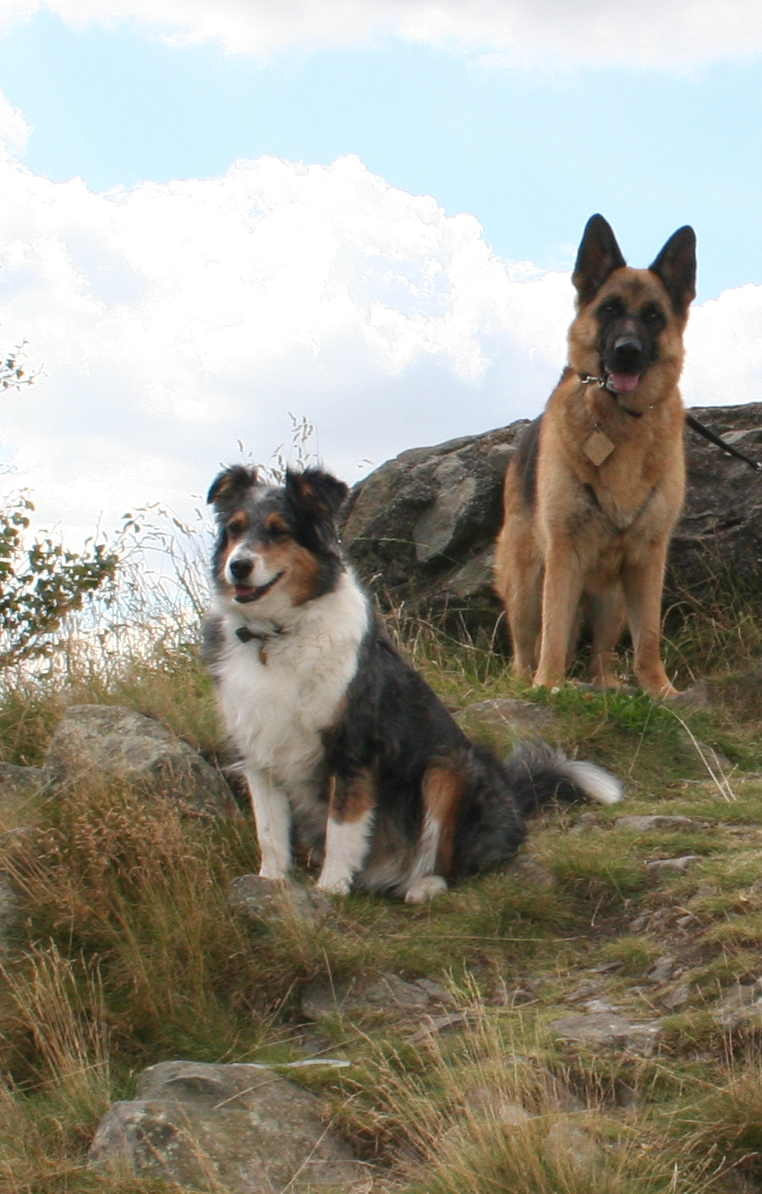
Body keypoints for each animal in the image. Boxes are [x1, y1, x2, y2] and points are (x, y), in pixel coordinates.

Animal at [204, 460, 625, 897]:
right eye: (235, 529)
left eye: (279, 531)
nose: (238, 566)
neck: (277, 634)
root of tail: (513, 798)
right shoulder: (259, 749)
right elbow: (269, 831)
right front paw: (270, 882)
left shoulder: (353, 747)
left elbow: (342, 826)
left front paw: (332, 888)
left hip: (449, 769)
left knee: (456, 862)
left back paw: (423, 885)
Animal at [496, 217, 697, 697]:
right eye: (608, 309)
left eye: (653, 317)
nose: (627, 350)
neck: (620, 422)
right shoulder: (563, 556)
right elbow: (553, 631)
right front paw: (548, 685)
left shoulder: (647, 561)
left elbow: (649, 639)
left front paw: (661, 691)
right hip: (526, 584)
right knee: (526, 645)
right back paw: (525, 682)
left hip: (613, 600)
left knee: (599, 656)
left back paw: (606, 684)